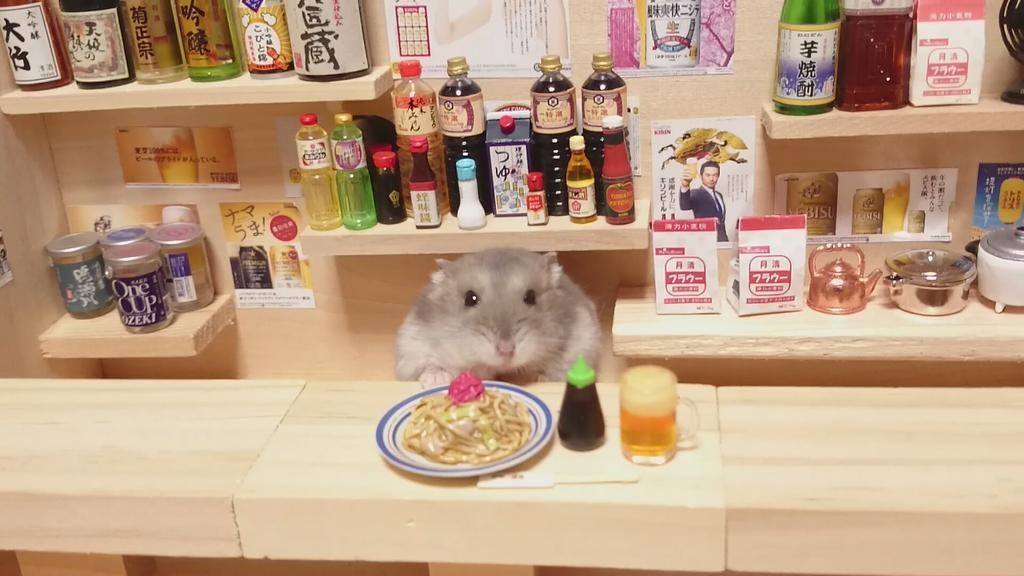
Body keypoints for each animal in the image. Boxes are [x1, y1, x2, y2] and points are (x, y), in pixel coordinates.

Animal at [395, 249, 601, 387]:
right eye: (470, 298)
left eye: (531, 297)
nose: (506, 351)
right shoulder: (412, 347)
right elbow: (430, 365)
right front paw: (437, 380)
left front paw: (542, 379)